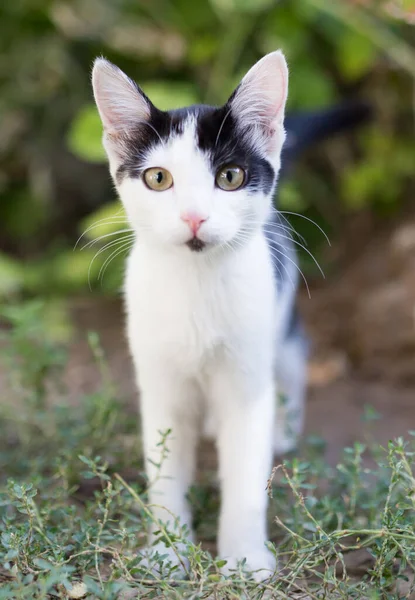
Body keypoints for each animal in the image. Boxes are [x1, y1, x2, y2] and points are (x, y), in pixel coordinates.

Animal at [92, 52, 308, 580]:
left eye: (229, 177)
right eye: (158, 178)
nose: (193, 217)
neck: (196, 284)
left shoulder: (248, 381)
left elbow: (247, 473)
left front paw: (245, 558)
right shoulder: (159, 383)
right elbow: (166, 469)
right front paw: (167, 551)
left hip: (280, 315)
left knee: (295, 362)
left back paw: (286, 431)